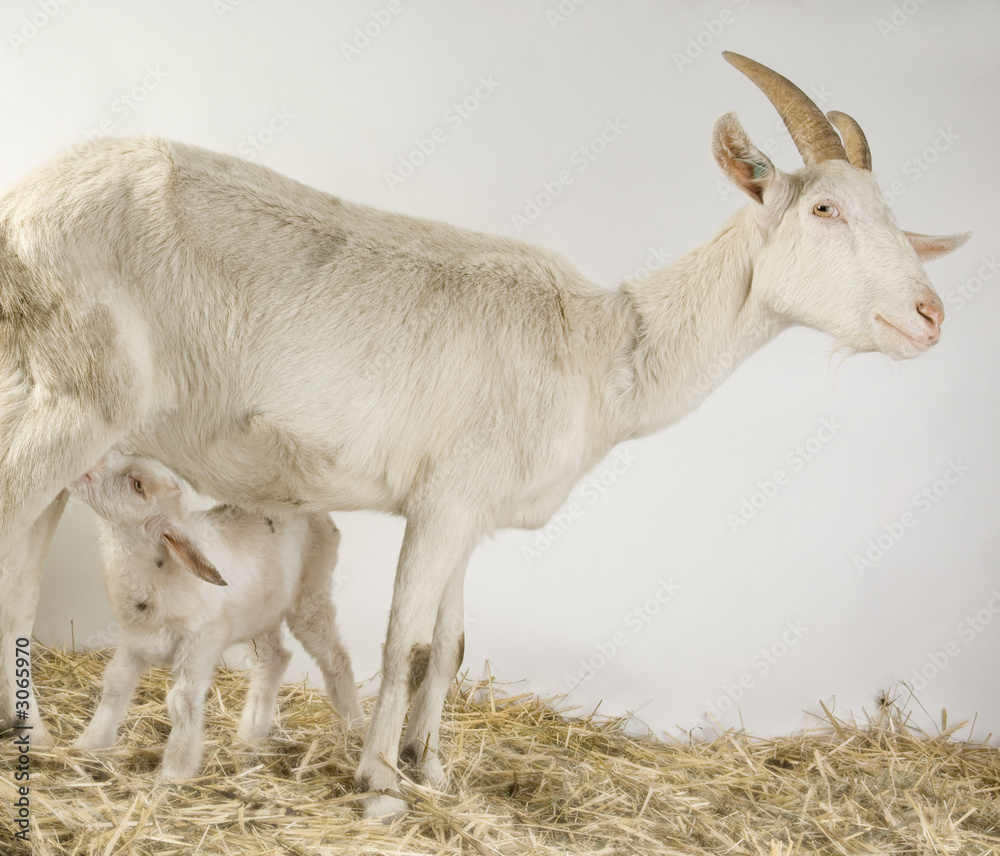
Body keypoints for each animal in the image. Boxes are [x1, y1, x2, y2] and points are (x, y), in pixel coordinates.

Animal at [68, 452, 364, 780]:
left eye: (138, 485)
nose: (86, 466)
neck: (159, 573)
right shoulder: (135, 640)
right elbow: (115, 686)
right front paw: (88, 744)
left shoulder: (202, 641)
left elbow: (182, 701)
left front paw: (176, 771)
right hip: (260, 613)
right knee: (274, 659)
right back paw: (249, 736)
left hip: (311, 594)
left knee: (336, 658)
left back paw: (355, 727)